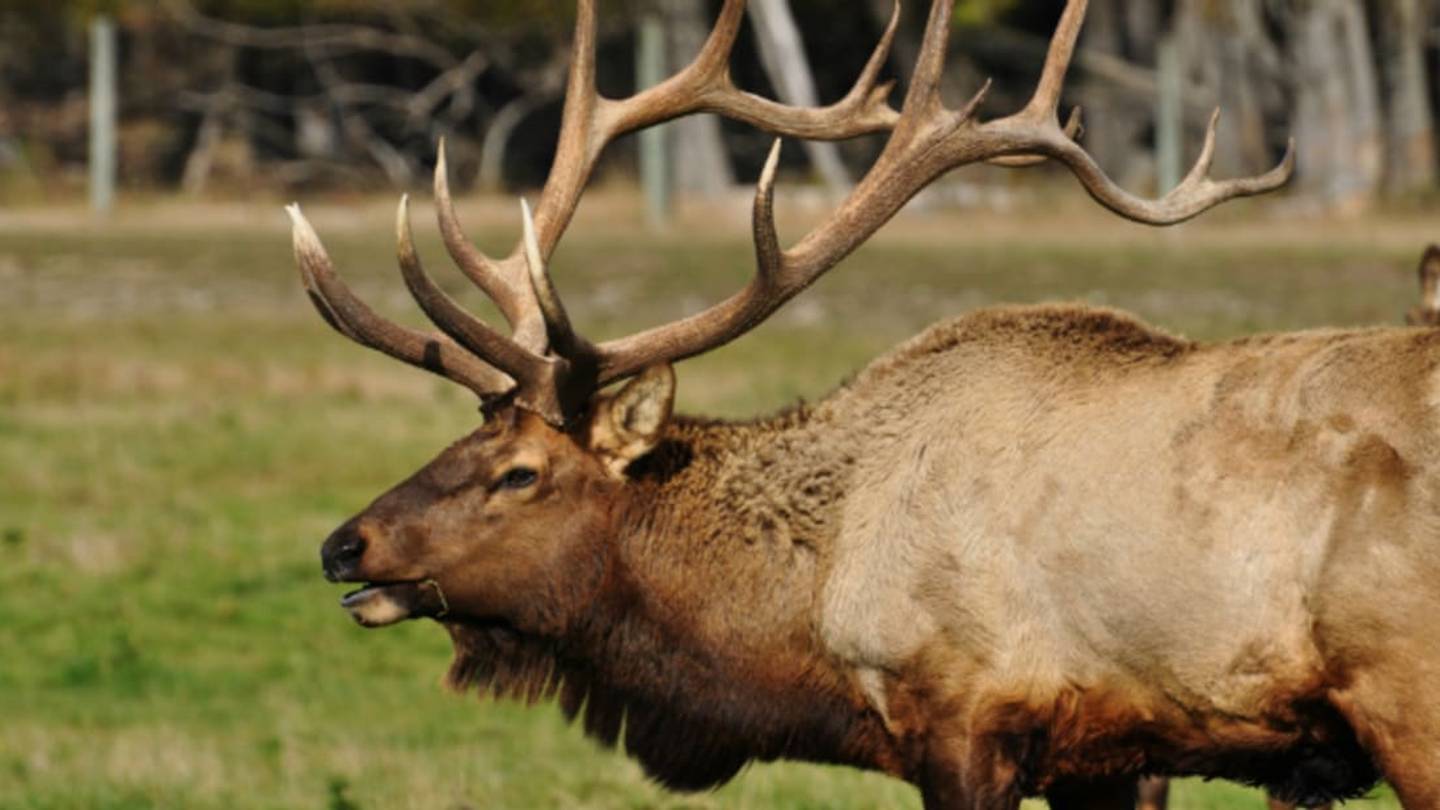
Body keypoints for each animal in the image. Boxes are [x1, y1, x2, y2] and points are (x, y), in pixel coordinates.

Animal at [286, 1, 1440, 808]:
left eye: (520, 472)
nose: (343, 545)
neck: (807, 612)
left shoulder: (968, 718)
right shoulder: (1111, 752)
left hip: (1408, 699)